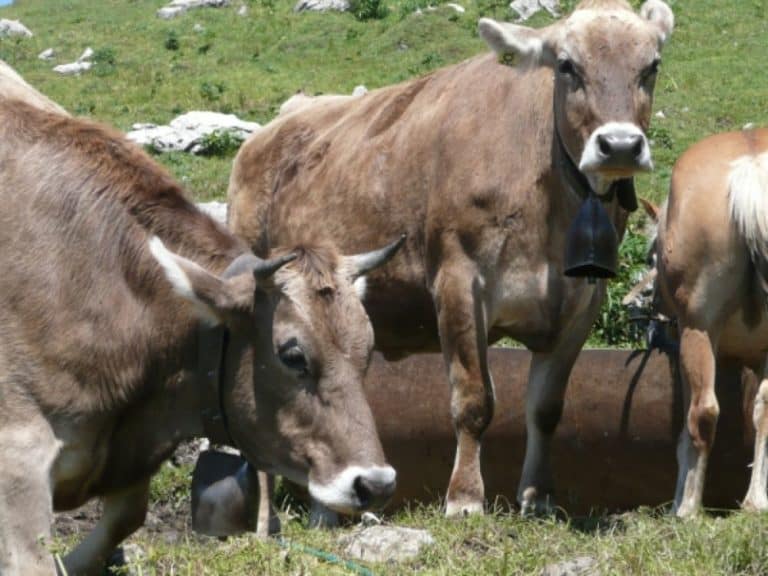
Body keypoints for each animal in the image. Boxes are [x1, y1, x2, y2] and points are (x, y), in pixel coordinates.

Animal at [231, 0, 676, 516]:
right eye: (567, 66)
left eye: (651, 66)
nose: (620, 145)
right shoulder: (457, 281)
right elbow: (473, 400)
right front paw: (465, 497)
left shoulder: (582, 301)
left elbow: (546, 409)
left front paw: (538, 495)